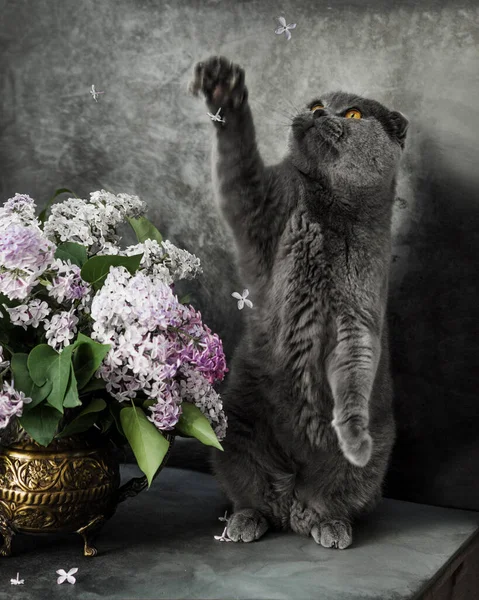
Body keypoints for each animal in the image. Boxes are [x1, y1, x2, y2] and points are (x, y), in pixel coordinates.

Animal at [189, 56, 406, 548]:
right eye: (315, 104)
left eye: (354, 114)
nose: (319, 113)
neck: (327, 213)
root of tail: (292, 497)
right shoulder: (261, 201)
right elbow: (239, 165)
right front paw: (224, 88)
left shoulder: (358, 317)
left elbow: (354, 370)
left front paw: (352, 435)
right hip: (235, 425)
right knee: (252, 492)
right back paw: (246, 520)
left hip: (372, 462)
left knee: (332, 498)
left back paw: (330, 523)